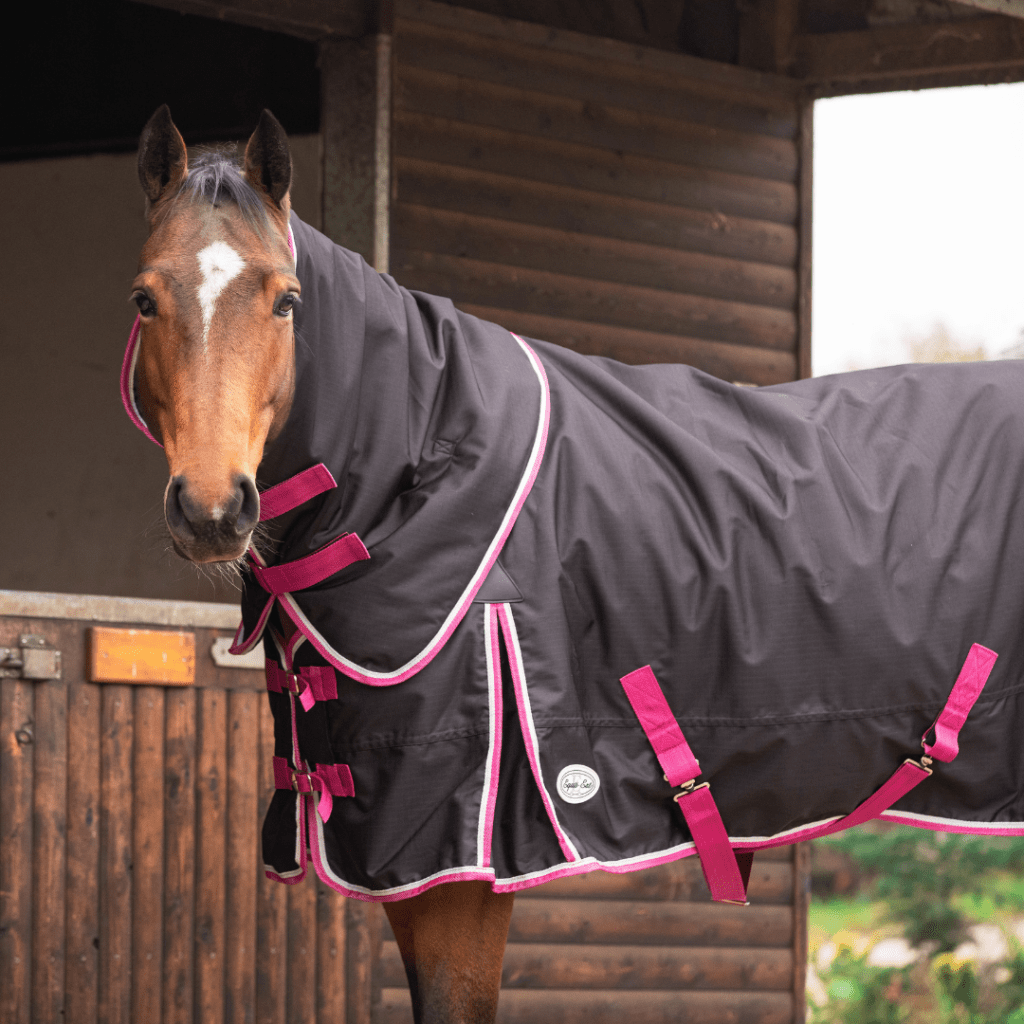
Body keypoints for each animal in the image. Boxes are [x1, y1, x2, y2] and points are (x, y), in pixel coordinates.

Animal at [124, 105, 1024, 1023]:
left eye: (287, 301)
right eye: (144, 299)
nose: (213, 508)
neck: (422, 463)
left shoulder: (460, 871)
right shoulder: (406, 870)